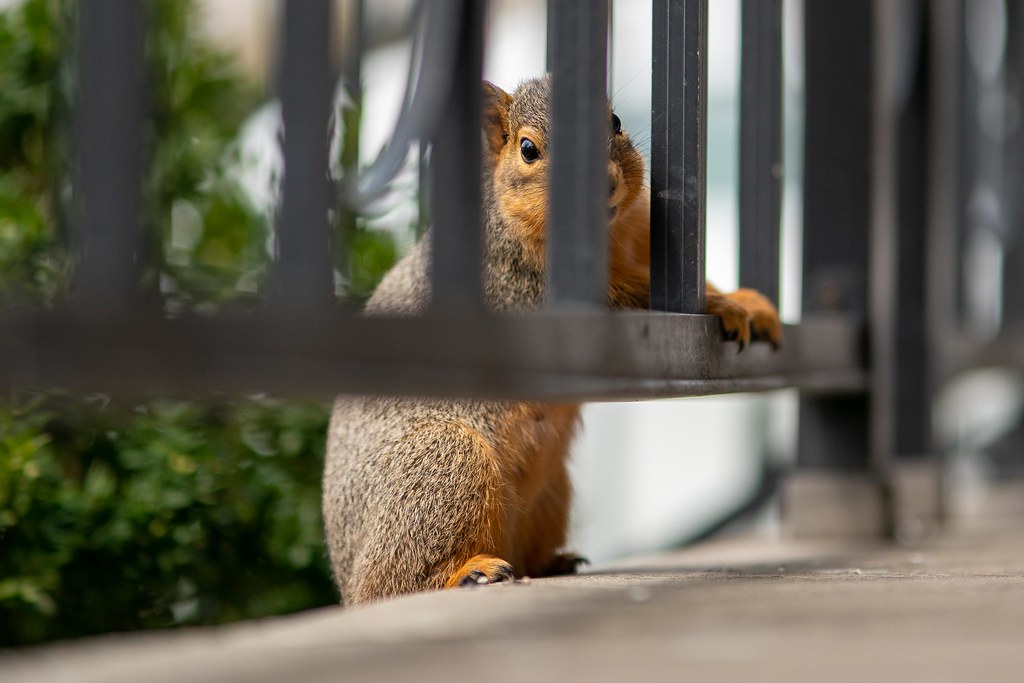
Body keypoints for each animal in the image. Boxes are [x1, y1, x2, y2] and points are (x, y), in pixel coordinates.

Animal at [322, 75, 782, 606]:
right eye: (528, 149)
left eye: (615, 121)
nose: (603, 183)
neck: (612, 237)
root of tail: (346, 578)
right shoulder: (536, 294)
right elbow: (642, 297)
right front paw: (728, 305)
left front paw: (752, 303)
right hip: (445, 463)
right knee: (394, 583)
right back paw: (470, 573)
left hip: (550, 493)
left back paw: (553, 563)